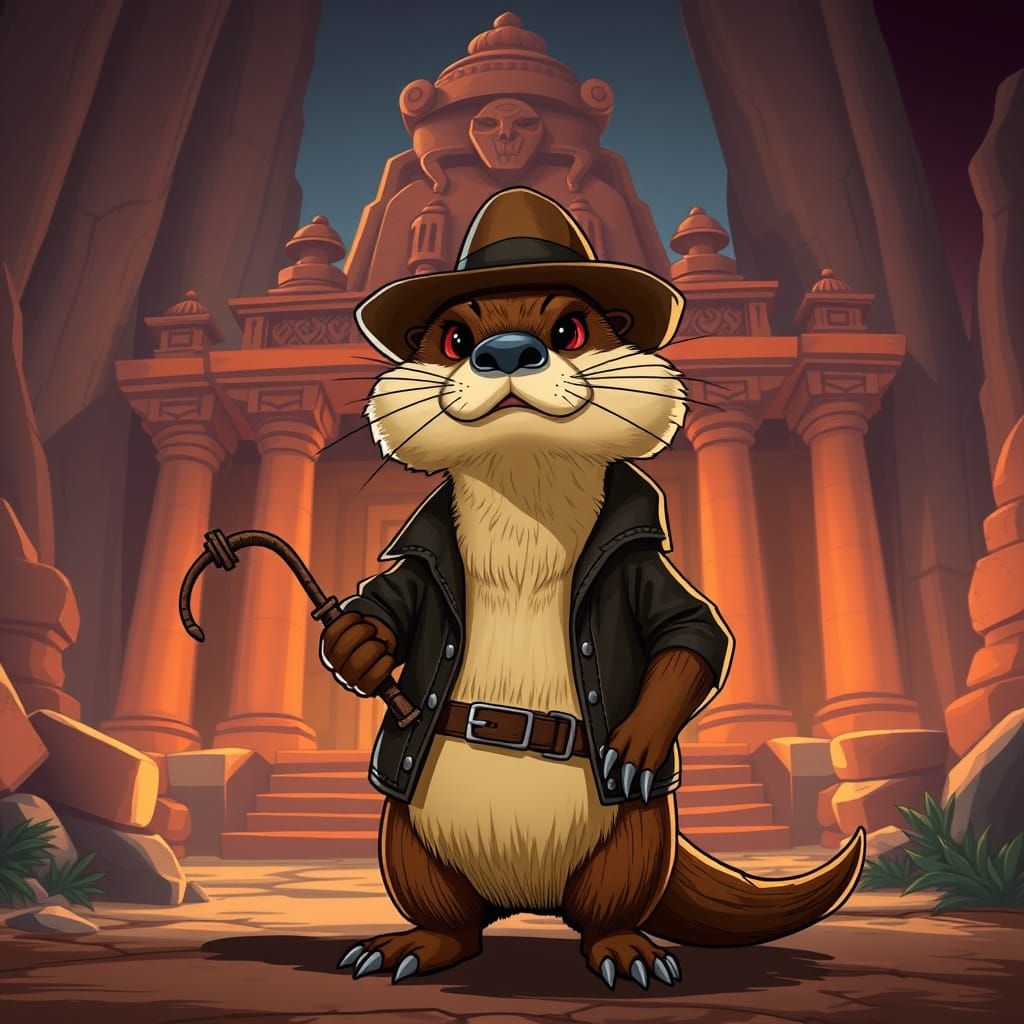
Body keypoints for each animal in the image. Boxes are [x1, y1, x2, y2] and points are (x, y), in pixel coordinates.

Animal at [321, 188, 864, 991]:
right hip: (405, 839)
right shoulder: (420, 570)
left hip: (636, 842)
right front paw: (357, 644)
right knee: (452, 920)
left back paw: (627, 952)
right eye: (454, 336)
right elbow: (386, 605)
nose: (505, 350)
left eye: (569, 327)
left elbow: (693, 632)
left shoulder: (643, 571)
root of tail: (525, 900)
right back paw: (412, 945)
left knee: (607, 908)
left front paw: (635, 741)